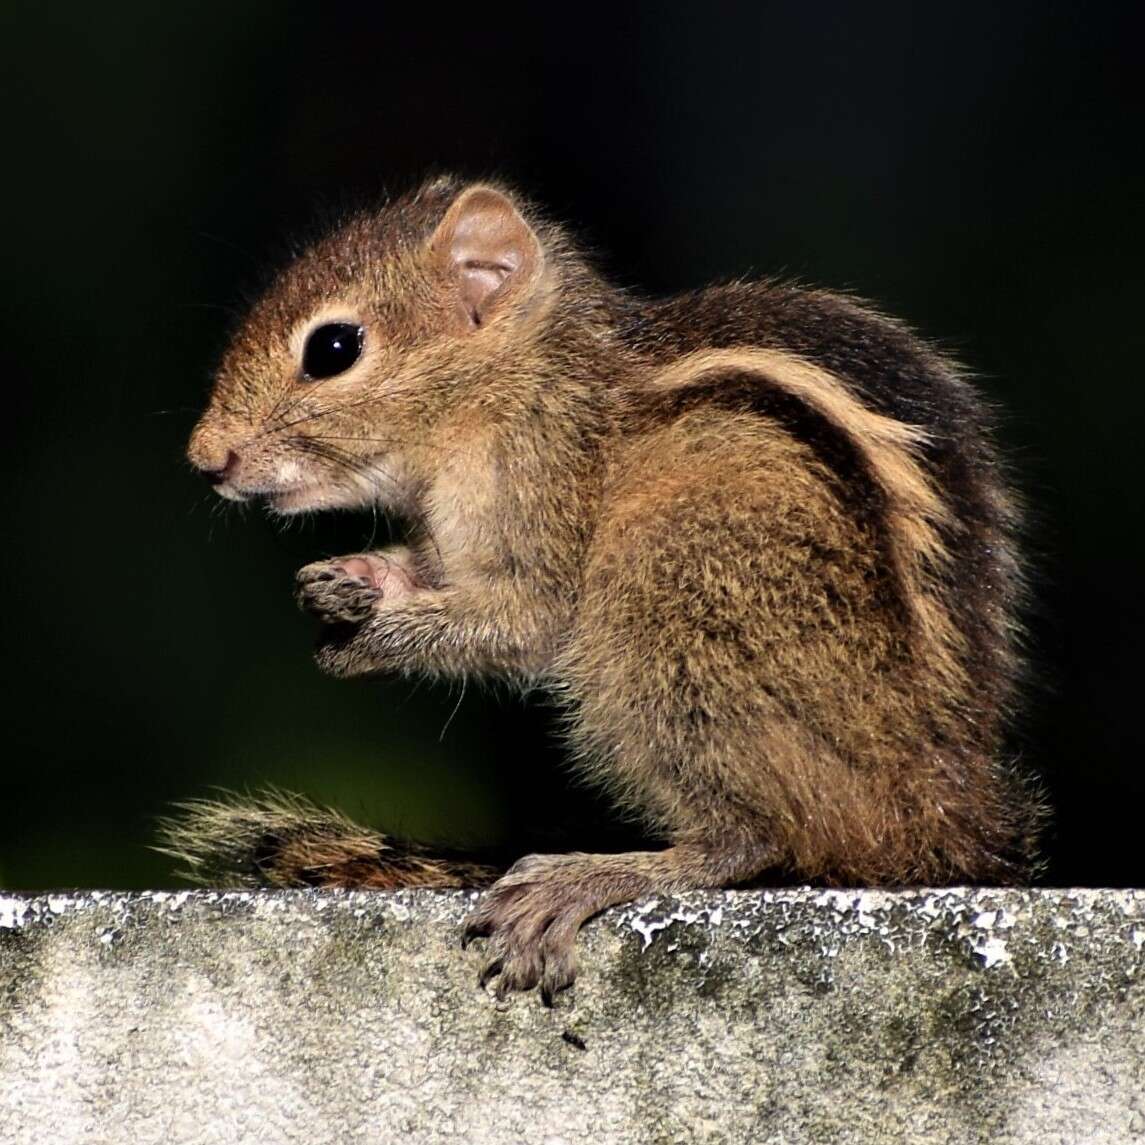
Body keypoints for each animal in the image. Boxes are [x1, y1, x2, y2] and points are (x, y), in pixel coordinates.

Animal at [166, 174, 1044, 998]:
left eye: (334, 347)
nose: (205, 457)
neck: (516, 380)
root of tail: (939, 810)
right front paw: (356, 577)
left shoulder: (539, 482)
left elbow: (525, 622)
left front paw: (378, 635)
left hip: (669, 603)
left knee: (751, 839)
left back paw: (595, 873)